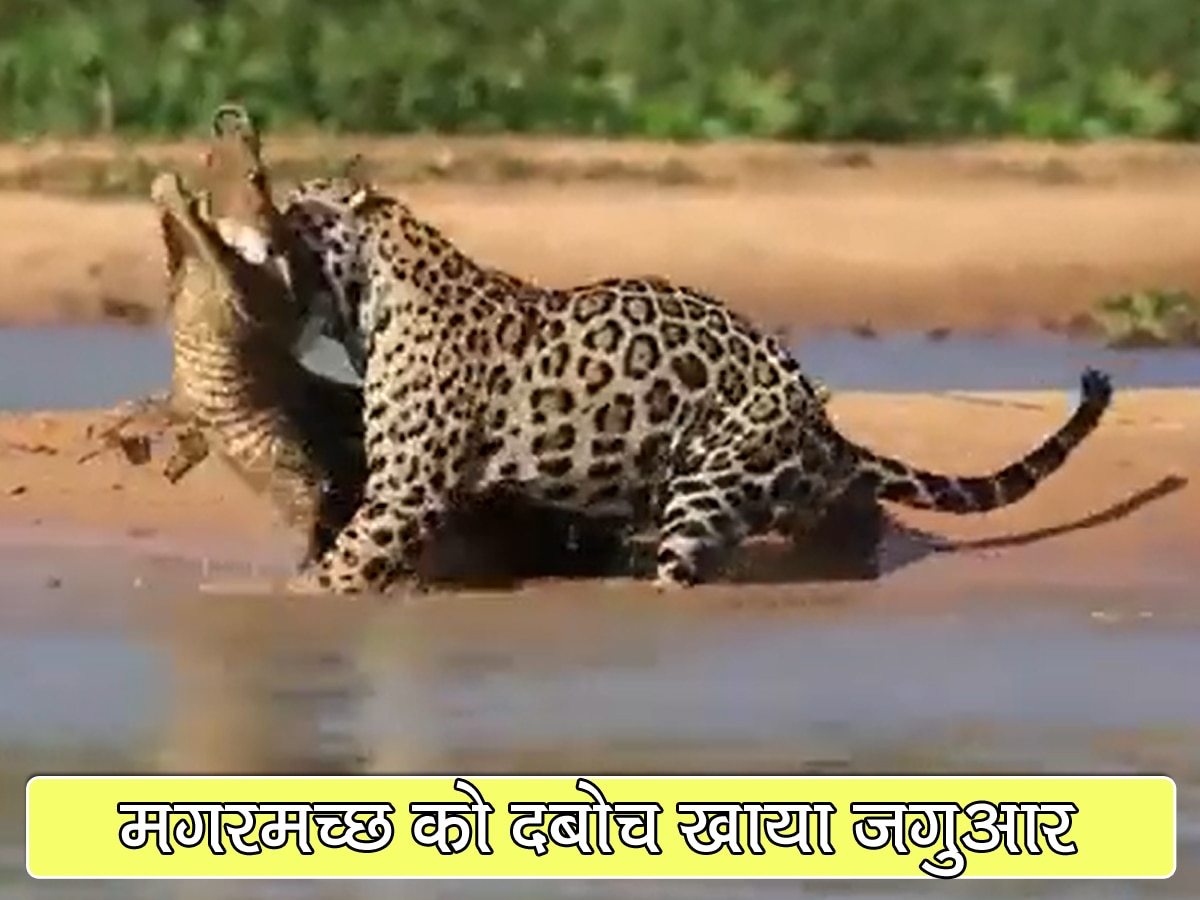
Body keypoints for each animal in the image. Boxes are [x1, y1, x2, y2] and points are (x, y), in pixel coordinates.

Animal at [229, 173, 1113, 595]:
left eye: (297, 208)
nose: (257, 214)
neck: (367, 300)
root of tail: (816, 420)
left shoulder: (406, 491)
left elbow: (353, 560)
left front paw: (297, 598)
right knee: (844, 510)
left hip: (708, 488)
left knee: (687, 567)